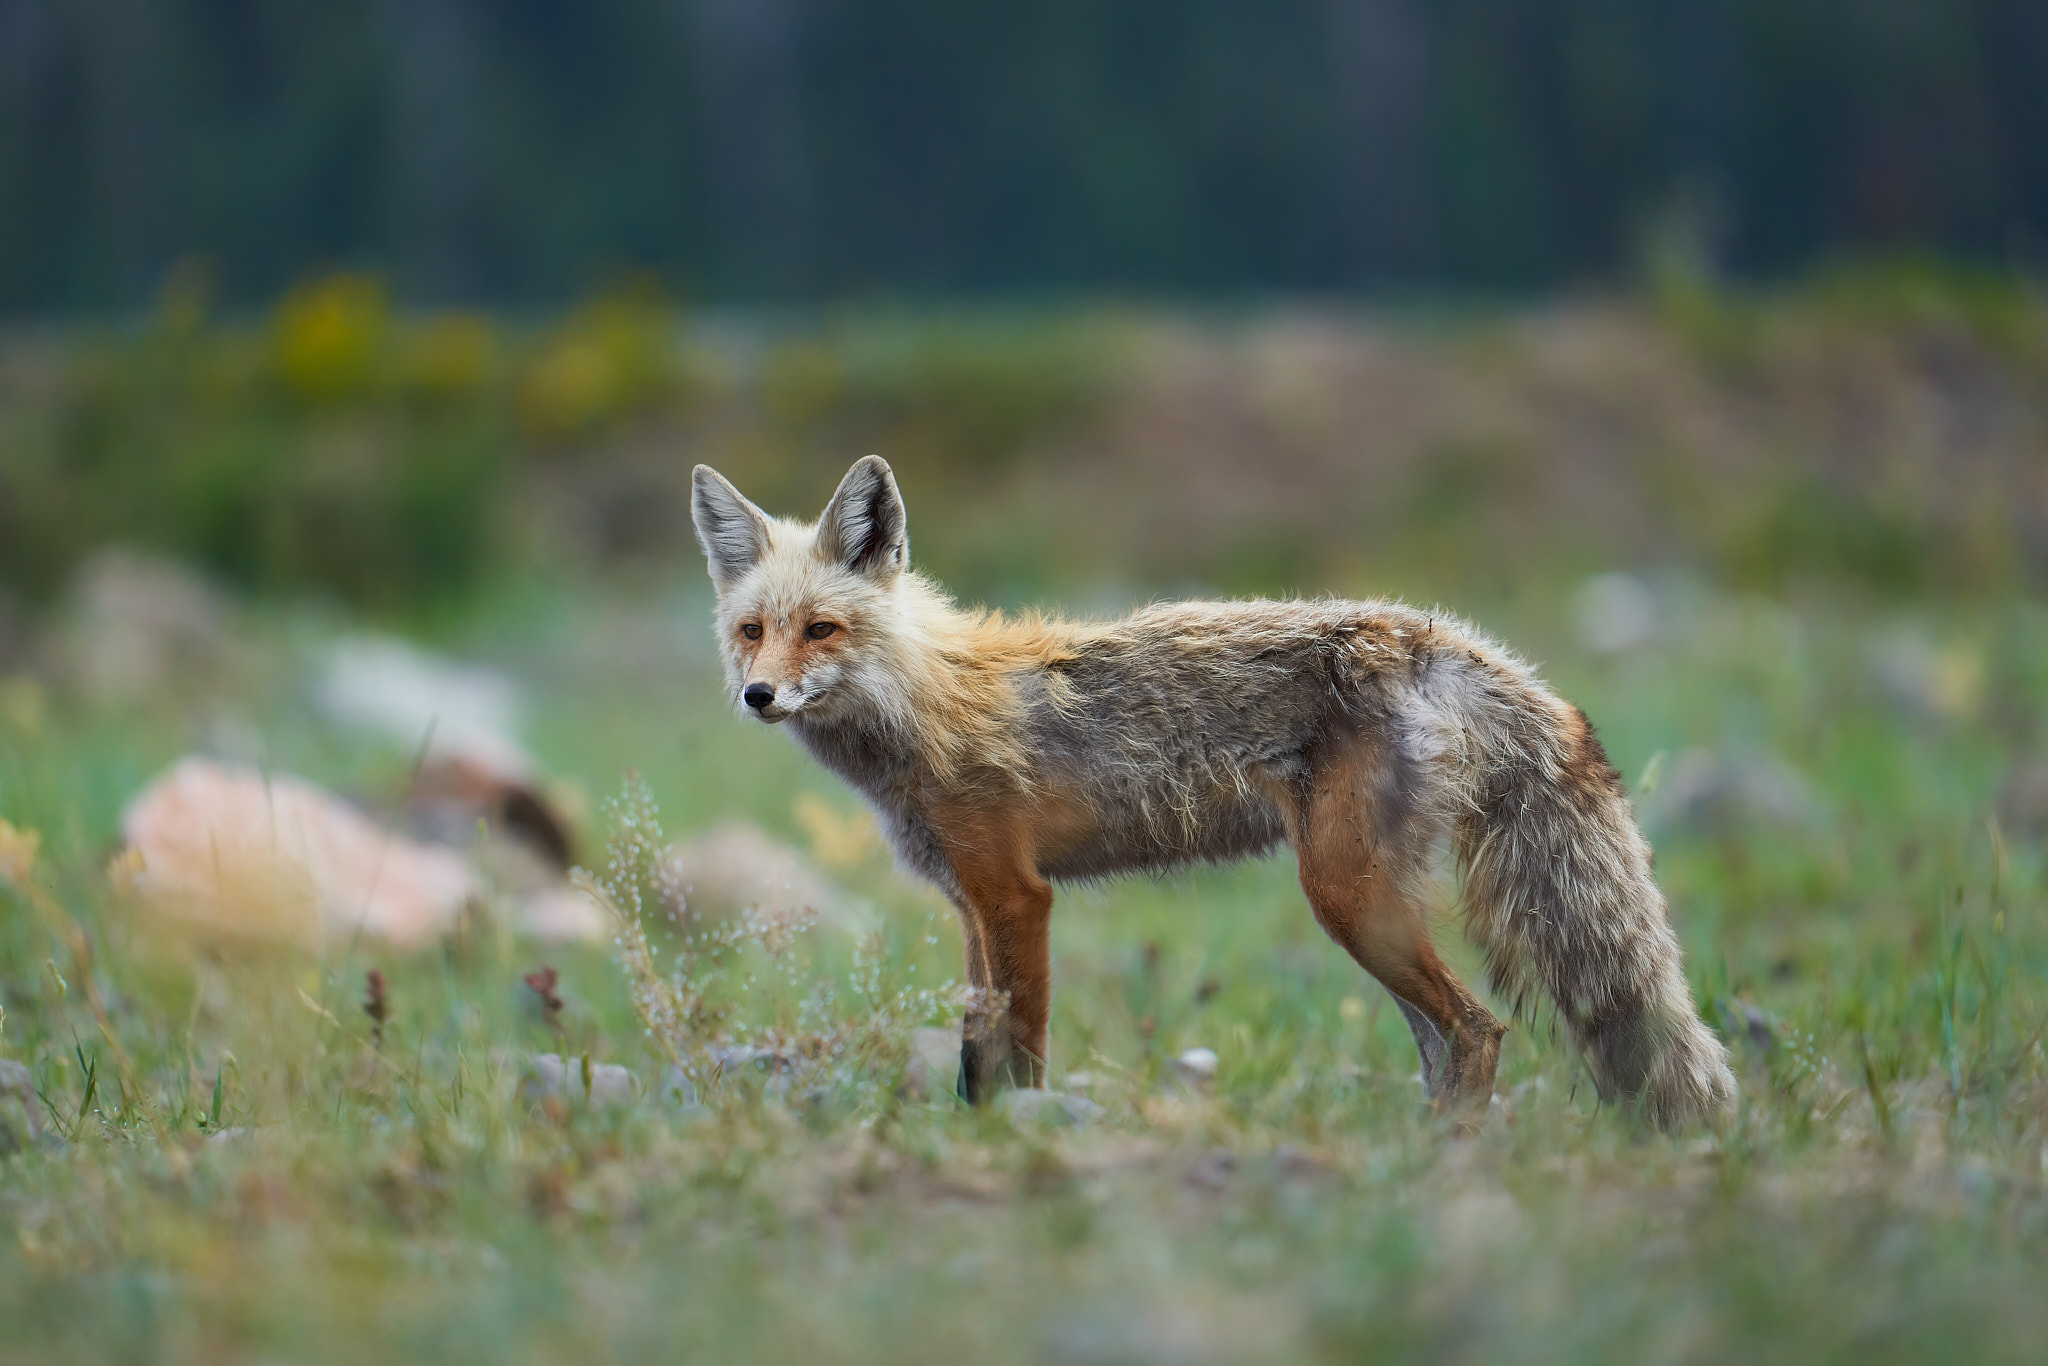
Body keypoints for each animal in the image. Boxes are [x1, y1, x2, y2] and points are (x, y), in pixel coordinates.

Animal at [690, 455, 1737, 1127]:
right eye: (752, 631)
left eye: (821, 630)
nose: (756, 695)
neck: (922, 702)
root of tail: (1431, 633)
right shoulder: (968, 907)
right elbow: (973, 1060)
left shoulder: (1017, 897)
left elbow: (1019, 1057)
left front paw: (1021, 1146)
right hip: (1372, 910)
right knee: (1447, 1046)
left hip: (1347, 900)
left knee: (1477, 1032)